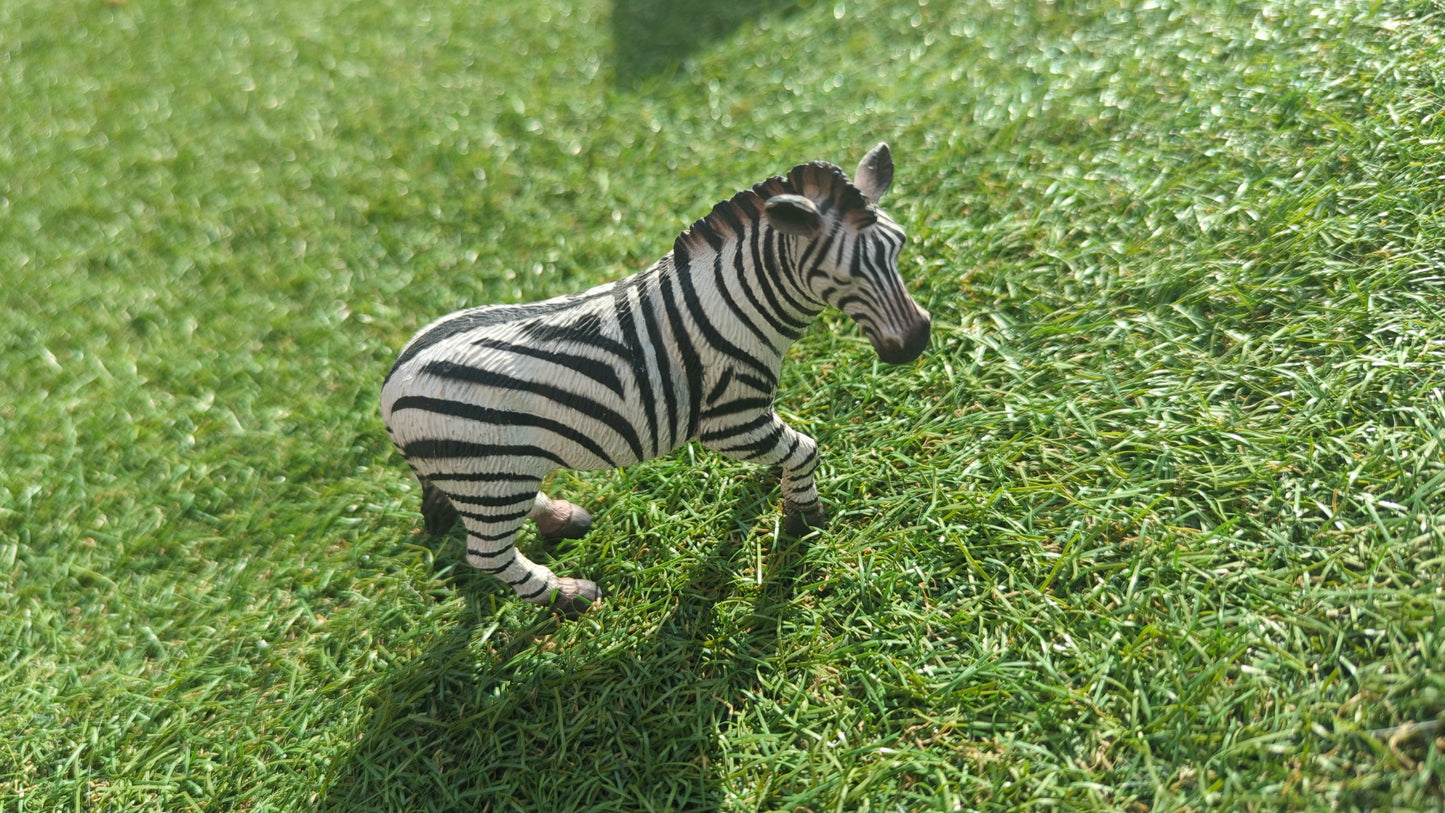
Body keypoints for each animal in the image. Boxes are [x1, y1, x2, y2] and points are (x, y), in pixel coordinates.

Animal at [380, 143, 930, 617]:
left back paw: (561, 520)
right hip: (486, 470)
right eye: (840, 277)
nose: (916, 342)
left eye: (900, 247)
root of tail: (390, 385)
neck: (734, 301)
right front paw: (803, 516)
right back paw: (568, 597)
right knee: (488, 557)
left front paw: (780, 488)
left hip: (494, 471)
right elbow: (805, 448)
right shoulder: (728, 421)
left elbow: (791, 446)